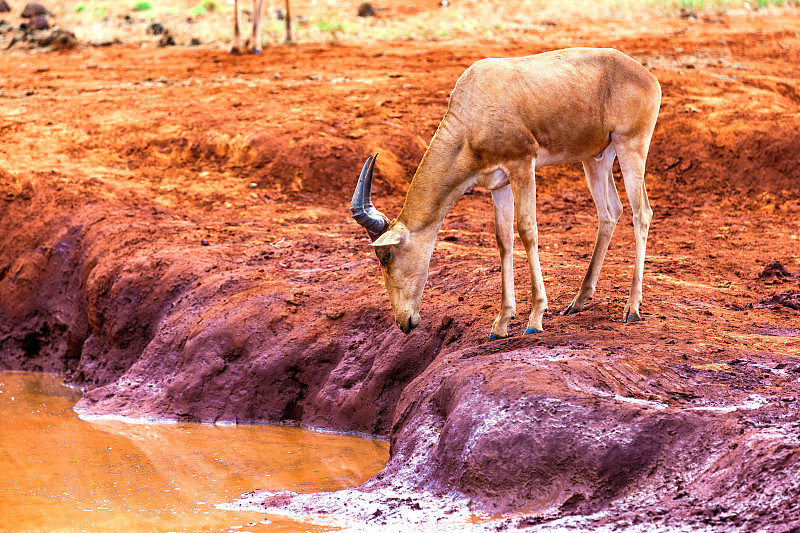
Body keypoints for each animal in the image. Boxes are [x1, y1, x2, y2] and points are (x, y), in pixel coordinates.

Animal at [352, 47, 664, 338]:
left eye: (386, 255)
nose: (404, 322)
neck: (477, 101)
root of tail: (647, 76)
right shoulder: (499, 183)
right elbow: (503, 239)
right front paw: (501, 323)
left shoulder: (522, 165)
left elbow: (527, 230)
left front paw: (535, 319)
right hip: (596, 157)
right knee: (610, 212)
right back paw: (578, 301)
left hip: (630, 145)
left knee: (642, 213)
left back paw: (632, 308)